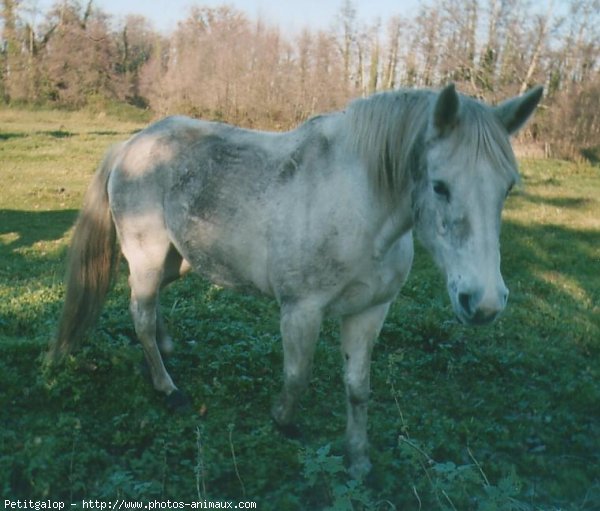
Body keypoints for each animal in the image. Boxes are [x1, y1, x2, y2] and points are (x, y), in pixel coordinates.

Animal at [48, 84, 544, 480]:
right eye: (439, 186)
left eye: (507, 188)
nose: (484, 302)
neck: (359, 207)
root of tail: (131, 144)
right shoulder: (301, 310)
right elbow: (298, 374)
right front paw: (284, 422)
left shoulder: (369, 313)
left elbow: (358, 388)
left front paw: (358, 460)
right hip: (148, 257)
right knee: (142, 315)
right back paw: (168, 389)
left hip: (179, 259)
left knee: (149, 310)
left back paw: (166, 355)